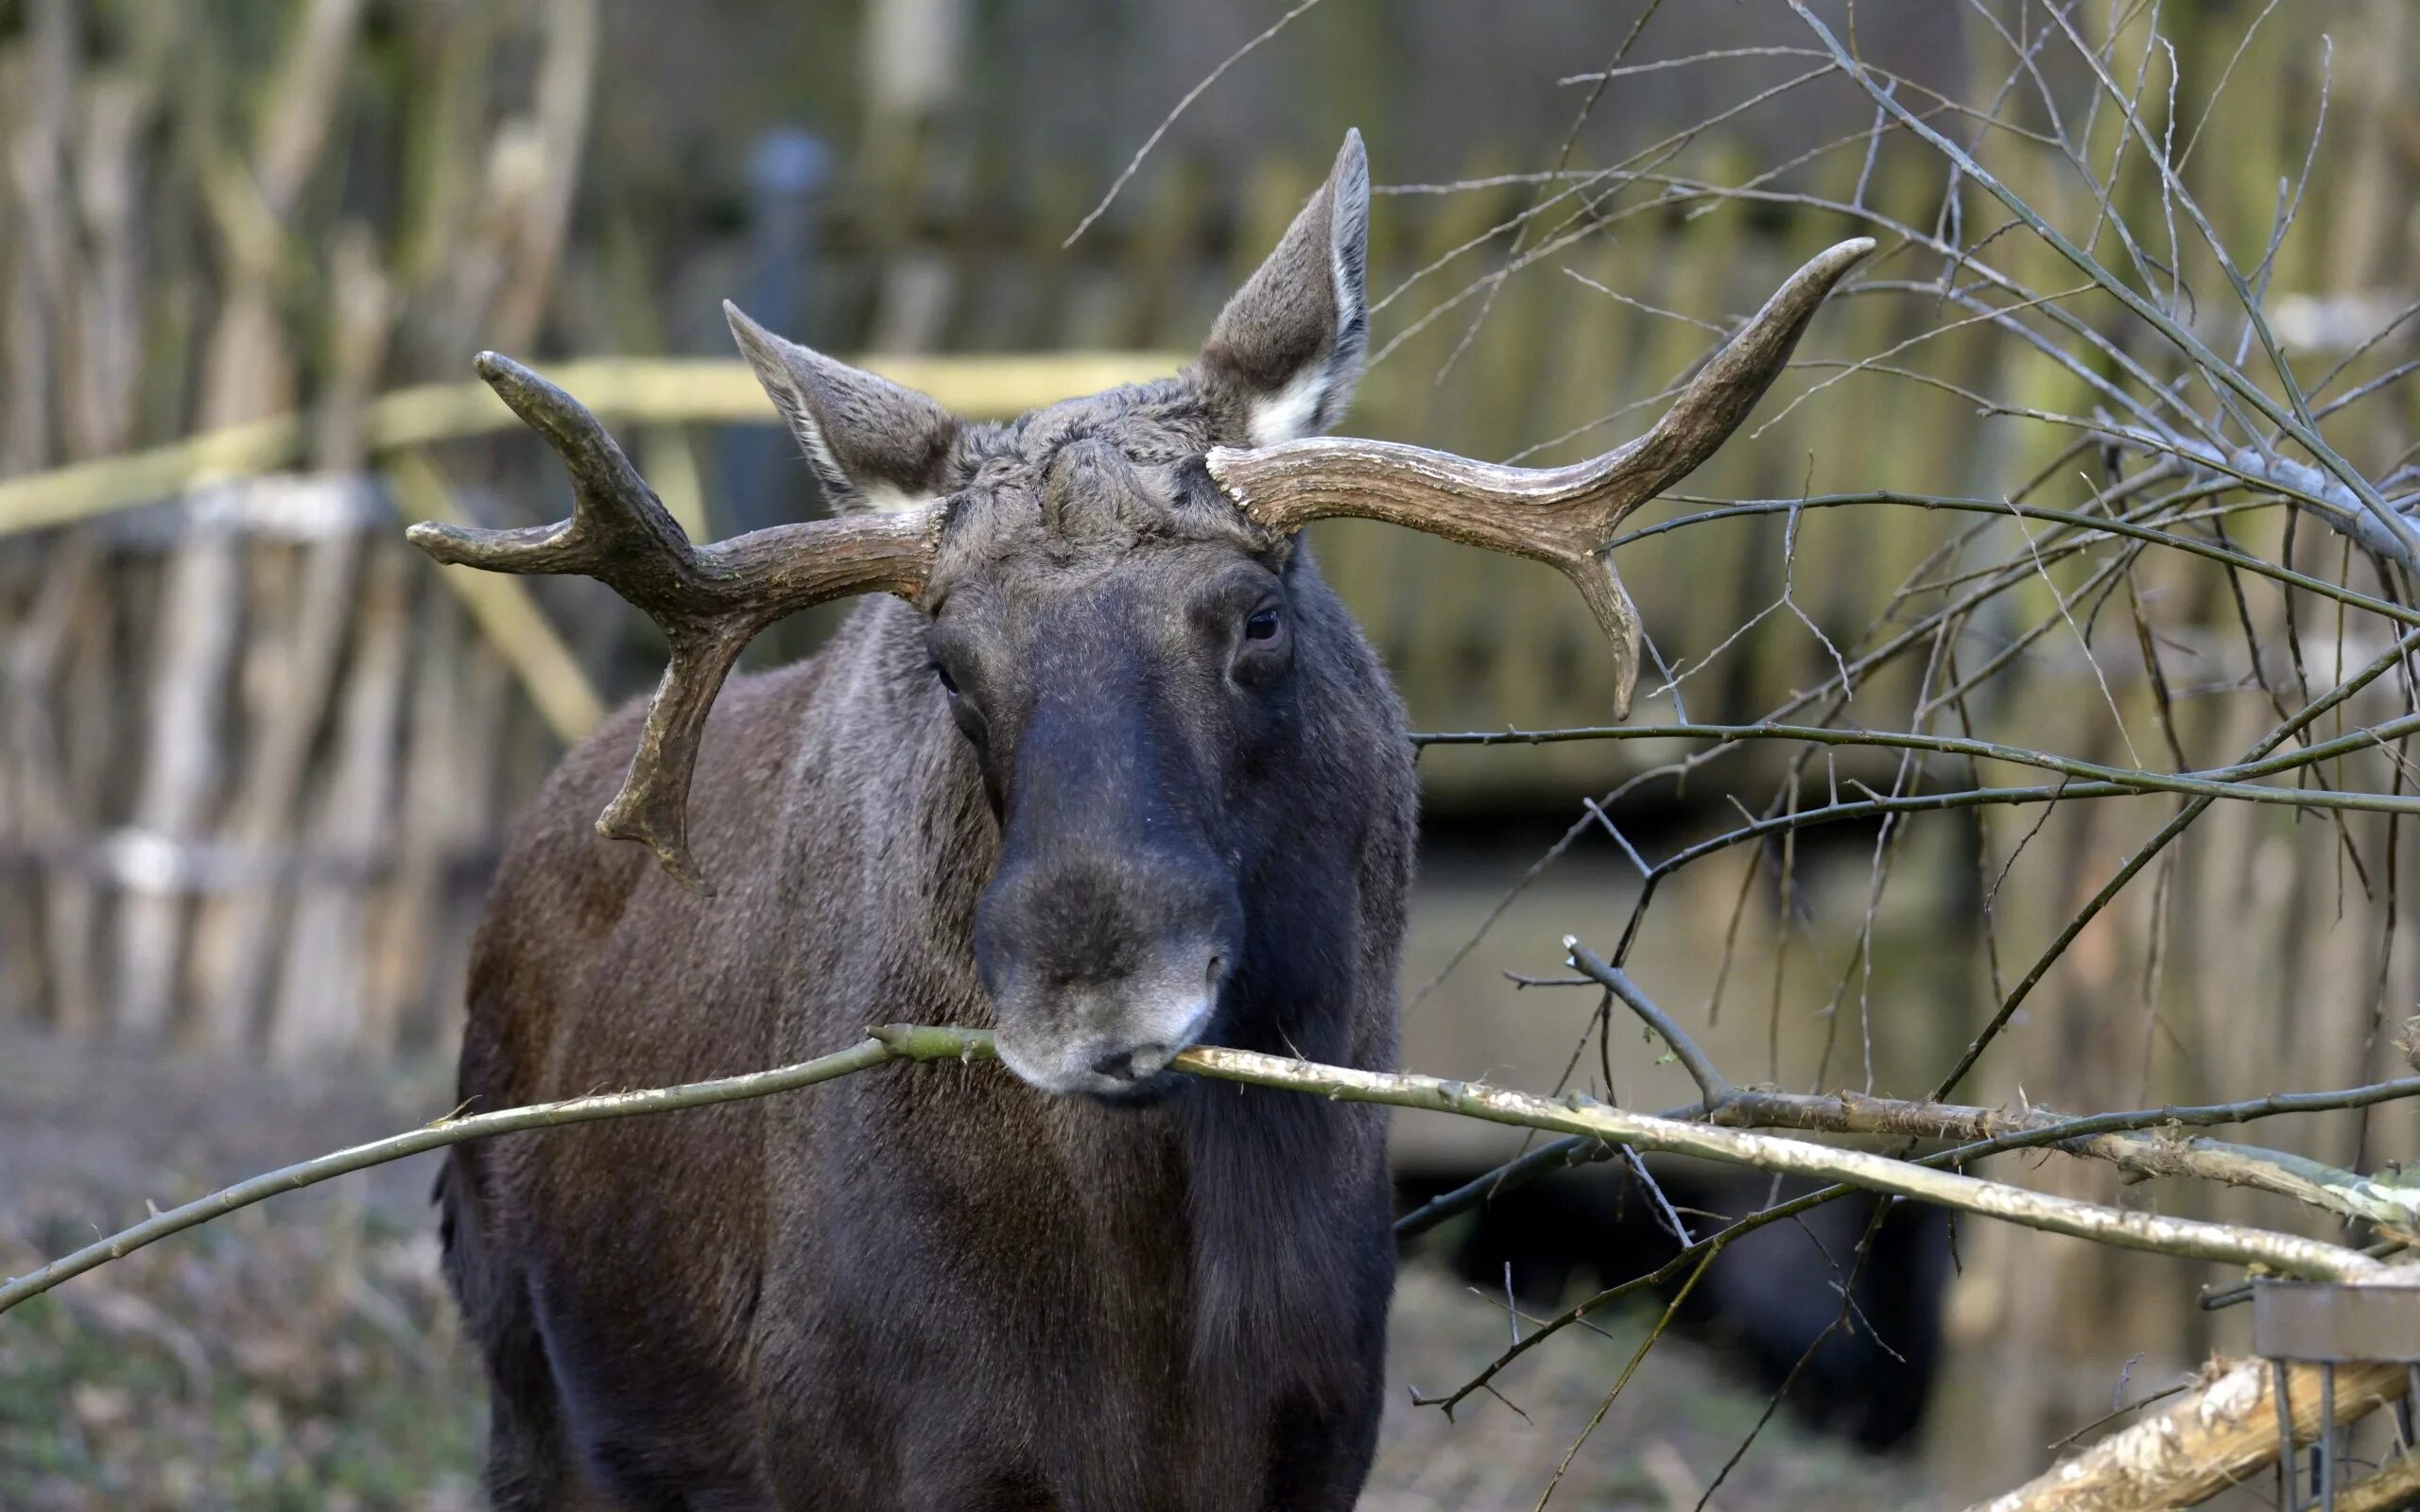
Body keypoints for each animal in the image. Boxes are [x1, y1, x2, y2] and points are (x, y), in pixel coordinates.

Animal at [421, 132, 1868, 1509]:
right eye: (950, 661)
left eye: (1260, 618)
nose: (1096, 995)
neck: (1156, 1328)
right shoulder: (862, 1448)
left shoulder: (1321, 1441)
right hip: (523, 1376)